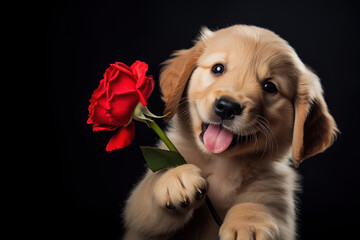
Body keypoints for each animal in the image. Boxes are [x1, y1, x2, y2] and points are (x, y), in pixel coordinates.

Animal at [123, 25, 338, 239]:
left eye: (269, 86)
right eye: (218, 68)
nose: (227, 107)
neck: (222, 164)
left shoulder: (276, 198)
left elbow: (260, 204)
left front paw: (248, 222)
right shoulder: (138, 220)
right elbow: (144, 204)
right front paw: (176, 178)